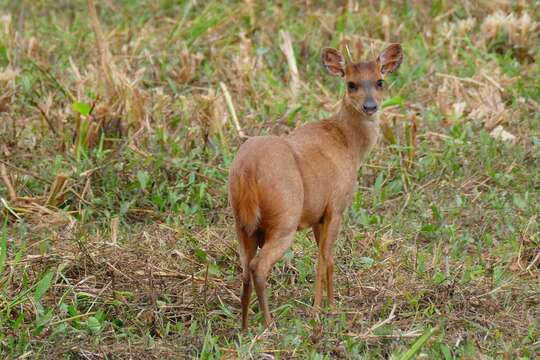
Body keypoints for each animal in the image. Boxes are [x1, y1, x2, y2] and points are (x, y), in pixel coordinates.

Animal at [228, 43, 400, 330]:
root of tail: (247, 169)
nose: (370, 106)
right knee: (258, 267)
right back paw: (269, 325)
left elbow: (328, 259)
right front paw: (322, 310)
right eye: (351, 84)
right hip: (285, 218)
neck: (348, 144)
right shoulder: (336, 206)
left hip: (241, 222)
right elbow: (323, 259)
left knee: (244, 267)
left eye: (380, 81)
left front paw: (330, 304)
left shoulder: (318, 215)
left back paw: (244, 328)